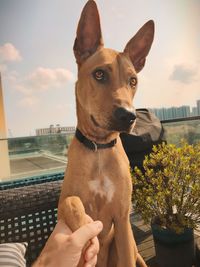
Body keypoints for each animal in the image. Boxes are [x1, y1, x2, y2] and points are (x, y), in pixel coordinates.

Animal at [57, 1, 155, 266]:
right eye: (99, 74)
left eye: (133, 81)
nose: (128, 115)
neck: (99, 149)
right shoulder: (63, 205)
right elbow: (72, 203)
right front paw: (86, 235)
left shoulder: (122, 219)